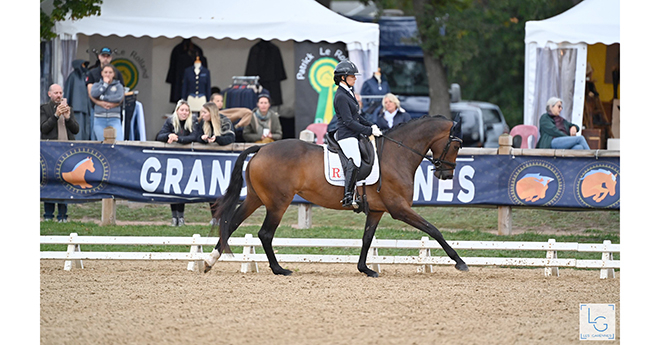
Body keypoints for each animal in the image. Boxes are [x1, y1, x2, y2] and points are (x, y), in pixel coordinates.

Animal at [204, 115, 466, 276]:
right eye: (456, 146)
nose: (445, 174)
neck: (397, 154)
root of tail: (262, 148)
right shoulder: (399, 209)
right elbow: (433, 229)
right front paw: (460, 262)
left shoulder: (377, 210)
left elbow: (367, 238)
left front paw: (365, 269)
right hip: (278, 203)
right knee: (265, 233)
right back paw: (279, 269)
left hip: (256, 198)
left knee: (232, 222)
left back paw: (209, 261)